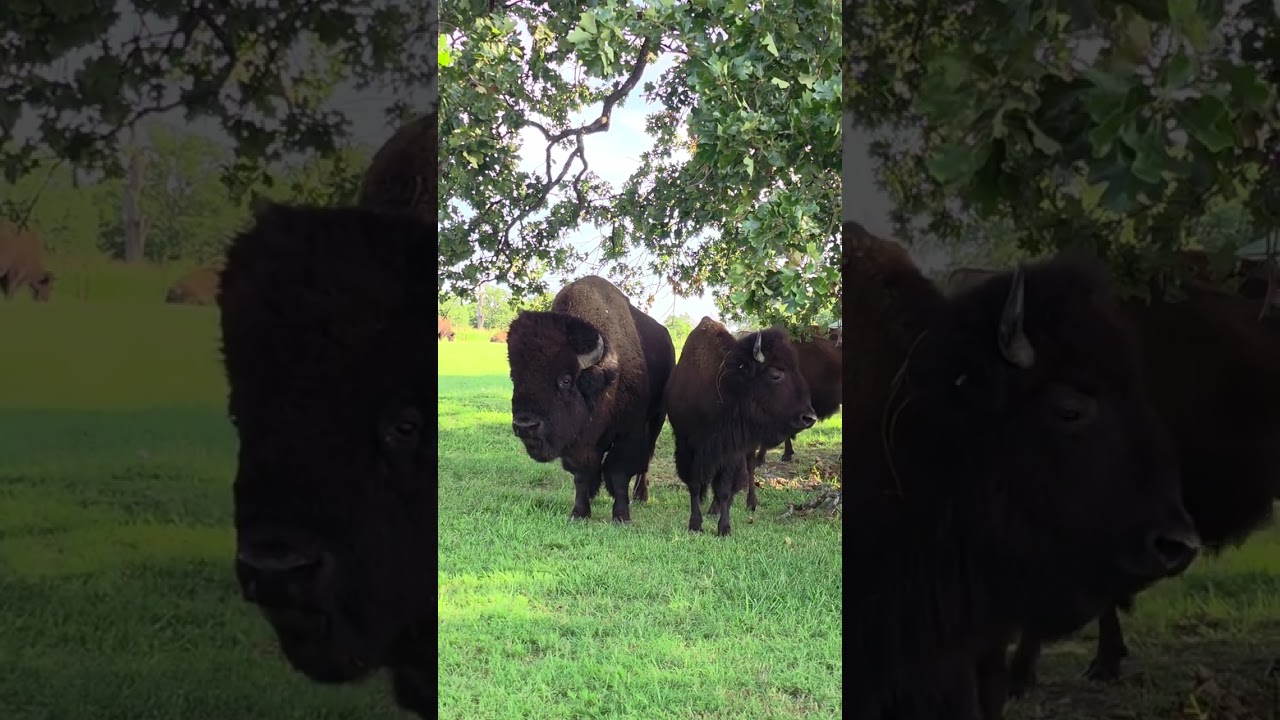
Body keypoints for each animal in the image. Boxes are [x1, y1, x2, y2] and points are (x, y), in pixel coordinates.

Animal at [506, 275, 675, 520]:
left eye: (566, 380)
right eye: (514, 377)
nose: (525, 425)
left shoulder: (627, 434)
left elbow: (618, 473)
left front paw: (621, 516)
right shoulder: (578, 444)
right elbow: (582, 476)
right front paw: (579, 512)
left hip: (657, 417)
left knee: (648, 455)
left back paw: (641, 495)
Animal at [665, 318, 817, 536]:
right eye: (775, 375)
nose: (809, 417)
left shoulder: (731, 452)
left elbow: (725, 489)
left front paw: (724, 528)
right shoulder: (687, 445)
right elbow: (694, 484)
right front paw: (695, 524)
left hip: (747, 448)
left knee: (749, 469)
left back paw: (750, 503)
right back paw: (713, 508)